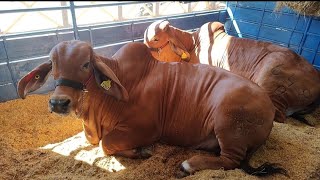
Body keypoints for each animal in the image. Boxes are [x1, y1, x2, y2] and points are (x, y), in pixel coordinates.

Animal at [16, 40, 288, 177]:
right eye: (52, 64)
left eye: (85, 64)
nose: (58, 102)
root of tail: (269, 107)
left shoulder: (148, 129)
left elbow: (106, 144)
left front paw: (141, 151)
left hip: (227, 123)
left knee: (231, 160)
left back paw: (188, 165)